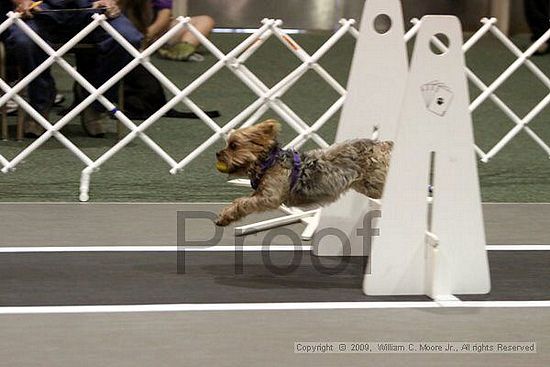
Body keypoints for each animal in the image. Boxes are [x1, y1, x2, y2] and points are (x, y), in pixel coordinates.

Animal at [215, 121, 392, 226]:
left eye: (233, 146)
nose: (217, 153)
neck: (268, 162)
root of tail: (383, 144)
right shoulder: (261, 192)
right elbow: (240, 201)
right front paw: (226, 216)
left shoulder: (269, 197)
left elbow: (243, 202)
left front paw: (226, 215)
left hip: (374, 183)